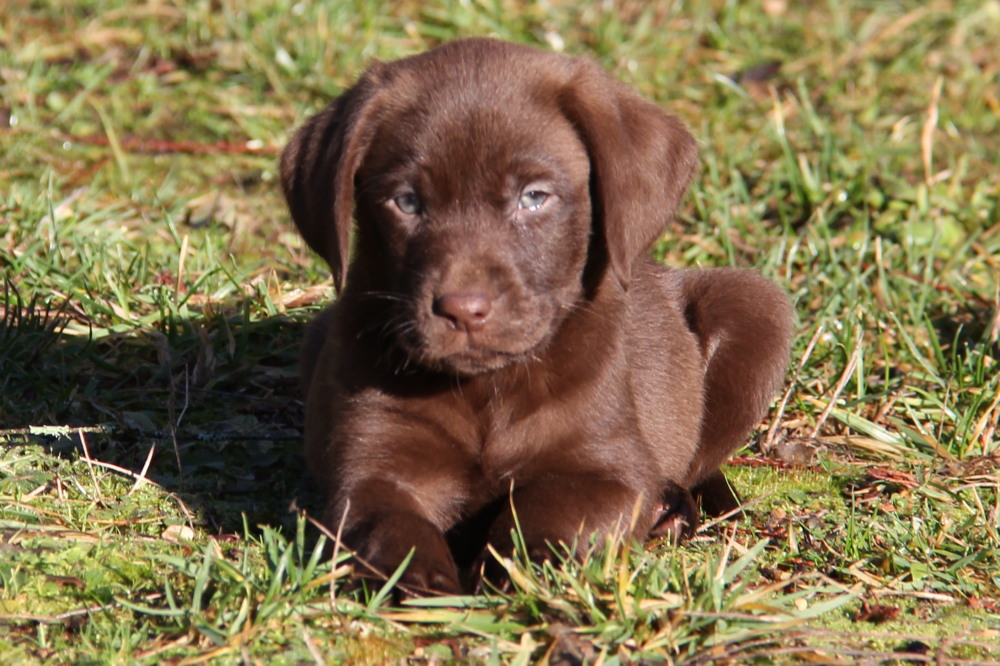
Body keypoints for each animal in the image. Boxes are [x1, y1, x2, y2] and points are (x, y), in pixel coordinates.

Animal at [278, 39, 792, 592]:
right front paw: (422, 585)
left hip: (757, 308)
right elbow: (389, 526)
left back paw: (671, 510)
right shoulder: (372, 466)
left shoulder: (608, 470)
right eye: (407, 202)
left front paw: (514, 571)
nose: (463, 310)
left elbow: (544, 513)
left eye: (534, 197)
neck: (488, 391)